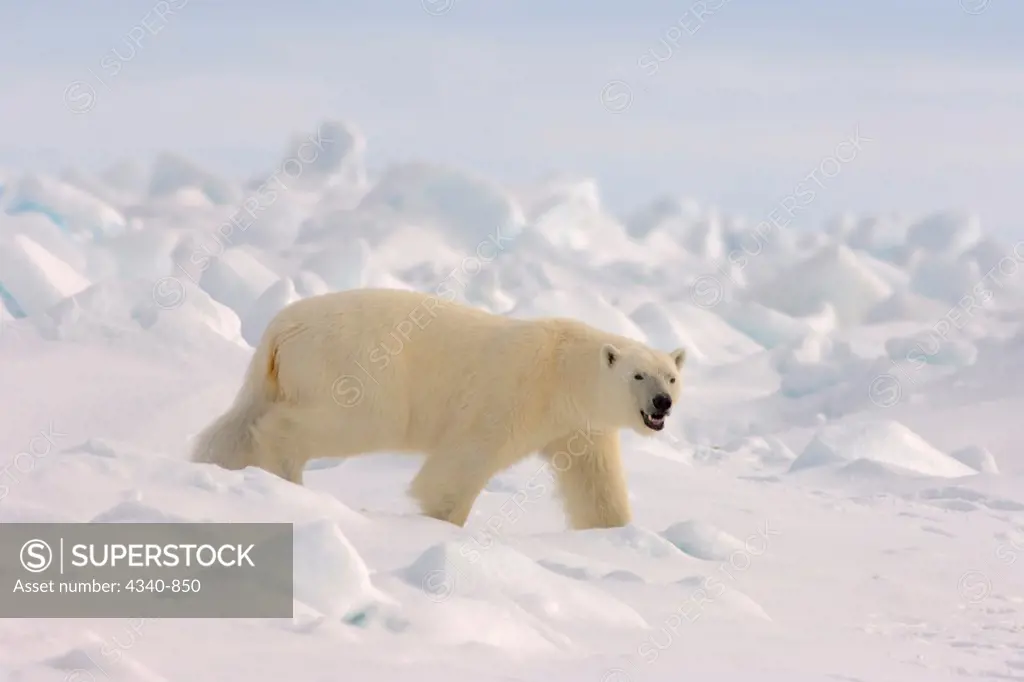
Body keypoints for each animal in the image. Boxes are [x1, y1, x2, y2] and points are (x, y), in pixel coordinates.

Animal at [192, 284, 688, 524]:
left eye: (671, 375)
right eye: (638, 375)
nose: (662, 403)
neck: (565, 370)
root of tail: (281, 328)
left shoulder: (580, 425)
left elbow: (594, 481)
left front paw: (613, 530)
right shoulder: (515, 394)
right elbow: (464, 460)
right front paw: (441, 521)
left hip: (272, 376)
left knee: (233, 425)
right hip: (358, 370)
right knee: (342, 422)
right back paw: (287, 474)